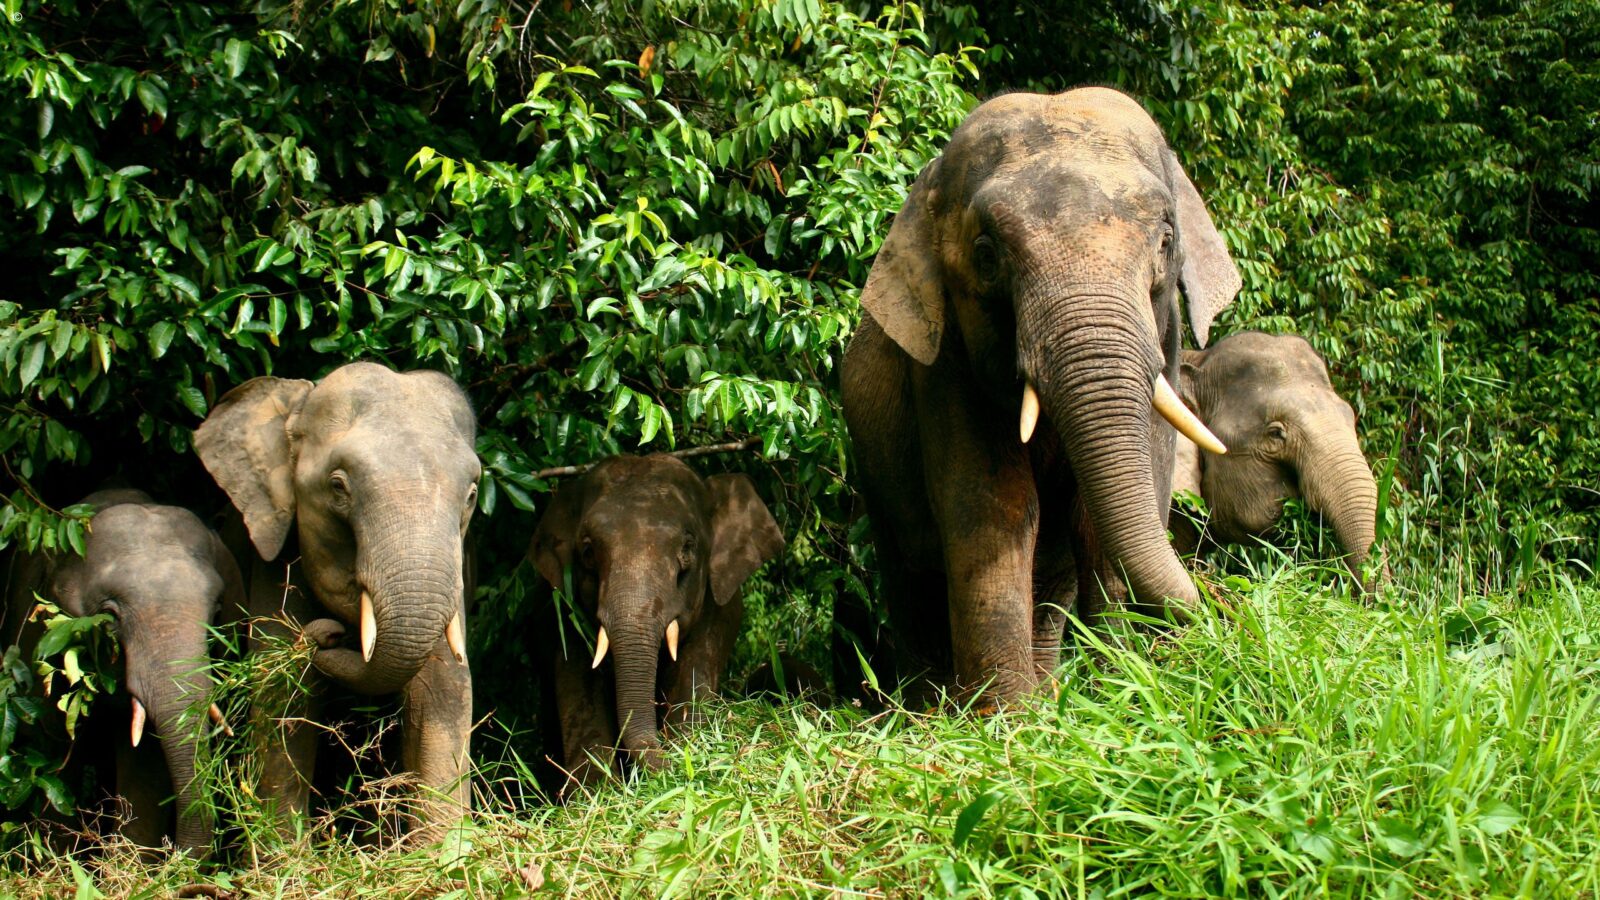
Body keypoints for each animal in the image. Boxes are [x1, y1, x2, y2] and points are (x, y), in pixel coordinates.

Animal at [1, 488, 243, 853]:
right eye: (110, 617)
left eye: (216, 613)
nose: (176, 854)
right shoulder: (38, 645)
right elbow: (55, 751)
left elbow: (143, 763)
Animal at [193, 361, 479, 838]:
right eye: (338, 487)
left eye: (472, 496)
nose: (328, 636)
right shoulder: (276, 557)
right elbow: (282, 699)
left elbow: (445, 691)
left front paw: (441, 853)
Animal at [527, 454, 783, 788]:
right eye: (588, 551)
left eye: (687, 547)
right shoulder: (563, 615)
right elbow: (579, 683)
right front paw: (597, 793)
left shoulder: (717, 610)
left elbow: (695, 673)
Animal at [839, 87, 1240, 703]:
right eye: (986, 254)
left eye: (1167, 240)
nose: (1226, 609)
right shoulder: (944, 363)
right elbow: (993, 509)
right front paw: (1007, 717)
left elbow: (1101, 515)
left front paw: (1120, 693)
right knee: (911, 576)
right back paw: (929, 706)